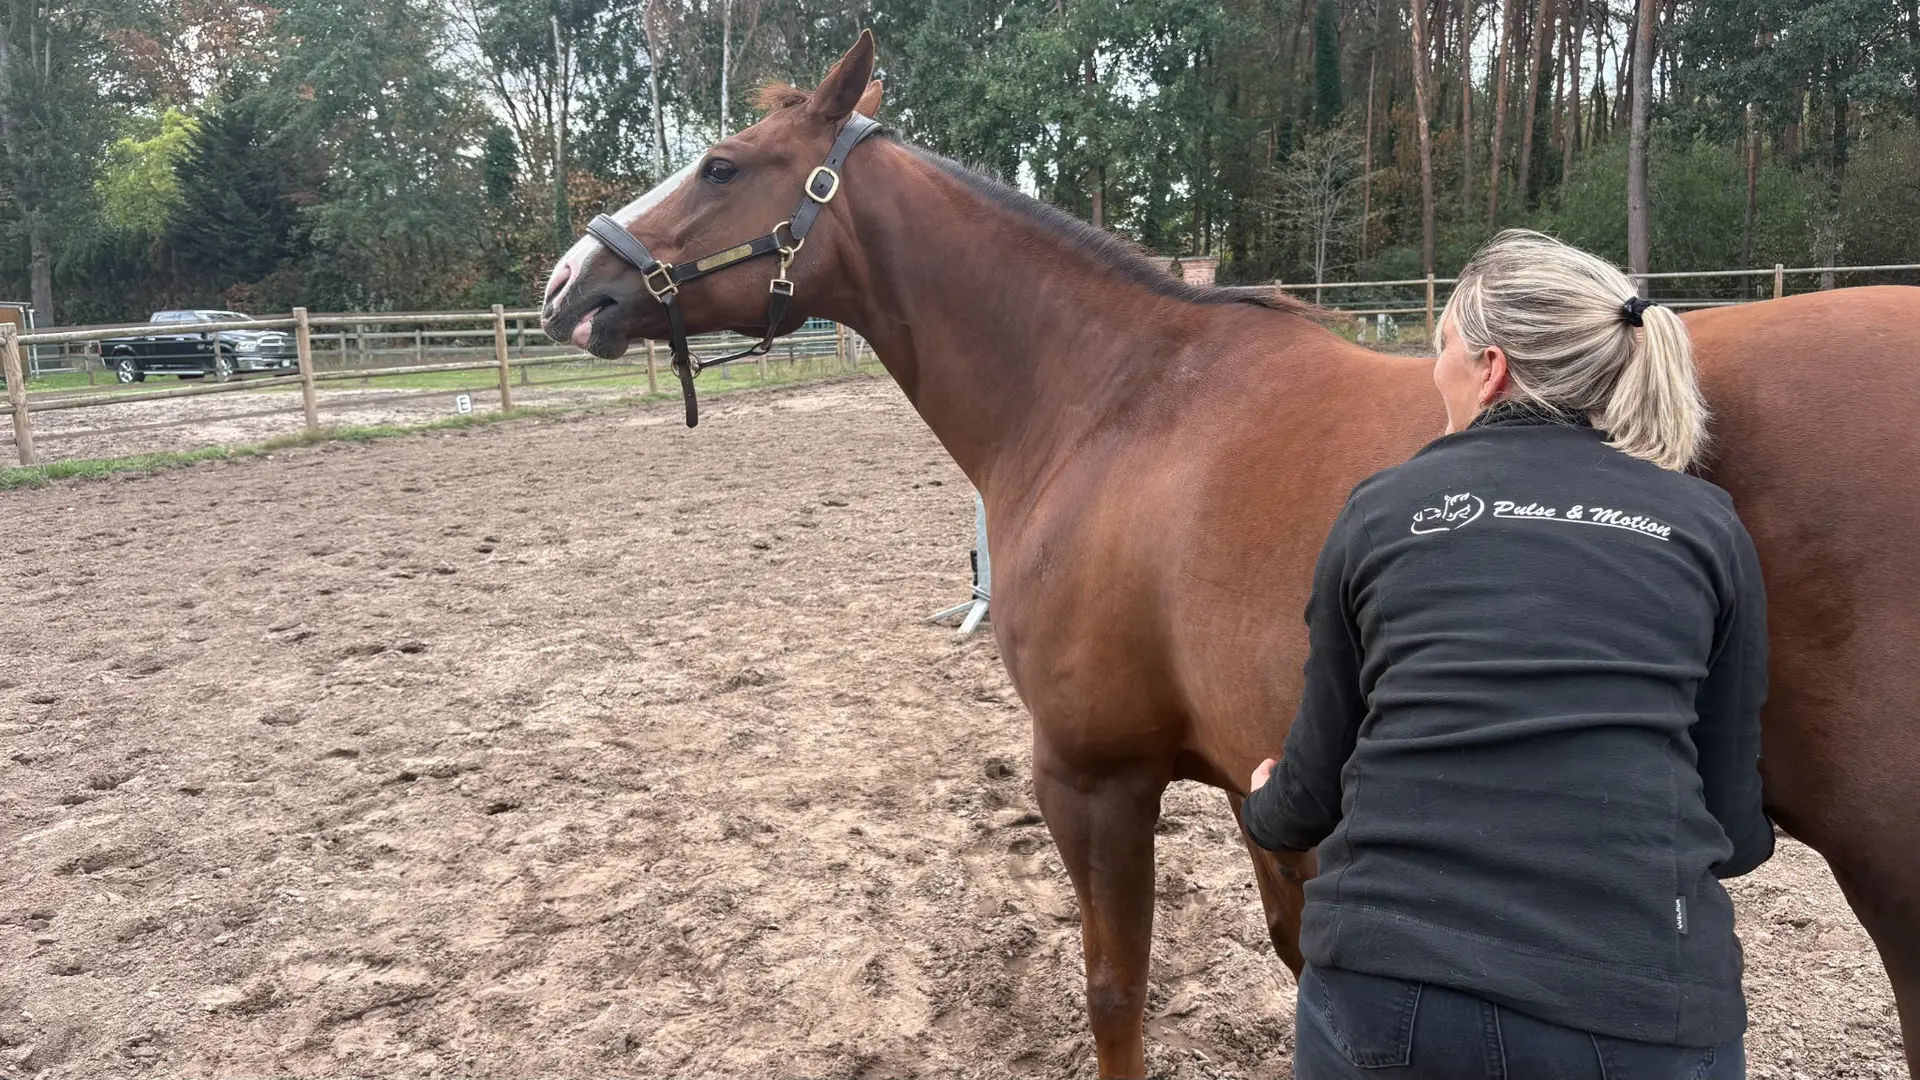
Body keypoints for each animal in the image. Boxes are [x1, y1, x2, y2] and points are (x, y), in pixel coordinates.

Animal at [540, 33, 1920, 1079]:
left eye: (721, 164)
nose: (570, 283)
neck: (1112, 401)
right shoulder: (1275, 781)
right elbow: (1300, 958)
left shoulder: (1095, 777)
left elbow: (1115, 991)